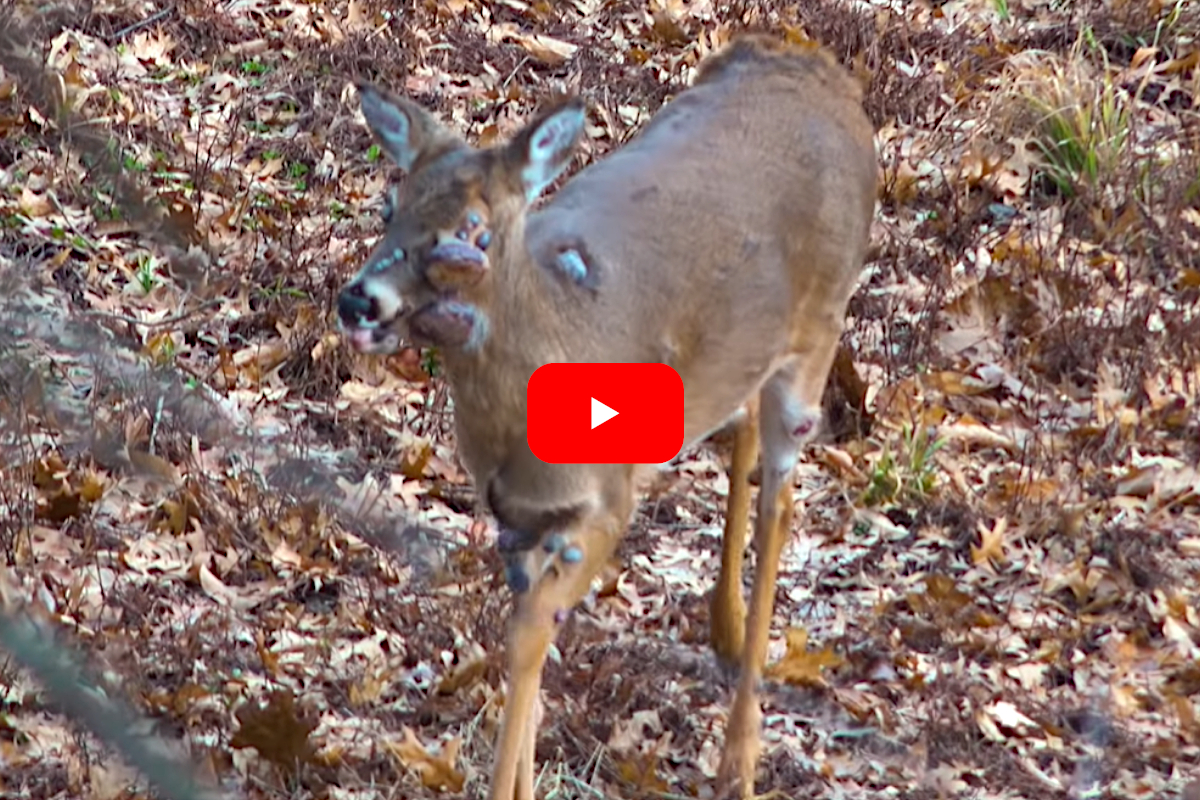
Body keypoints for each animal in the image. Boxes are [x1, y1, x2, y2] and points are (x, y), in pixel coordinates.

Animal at [338, 32, 883, 800]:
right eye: (391, 205)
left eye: (473, 232)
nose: (359, 299)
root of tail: (824, 71)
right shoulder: (517, 516)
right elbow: (527, 635)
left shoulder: (608, 500)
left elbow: (530, 636)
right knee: (741, 423)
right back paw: (723, 629)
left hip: (818, 338)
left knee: (782, 499)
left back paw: (739, 760)